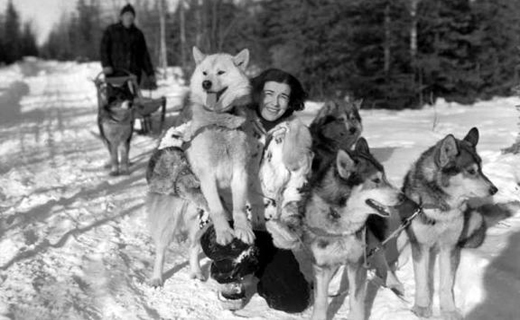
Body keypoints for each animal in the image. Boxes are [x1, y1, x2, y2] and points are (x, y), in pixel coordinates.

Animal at [300, 139, 418, 320]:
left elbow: (356, 301)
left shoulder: (357, 263)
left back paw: (394, 283)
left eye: (385, 177)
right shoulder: (321, 266)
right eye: (376, 180)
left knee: (381, 258)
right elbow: (320, 302)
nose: (402, 197)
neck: (339, 218)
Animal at [400, 127, 498, 320]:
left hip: (475, 219)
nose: (494, 189)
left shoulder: (448, 246)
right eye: (471, 171)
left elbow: (446, 284)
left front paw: (449, 310)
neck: (441, 207)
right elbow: (422, 281)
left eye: (481, 169)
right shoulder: (421, 244)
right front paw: (422, 307)